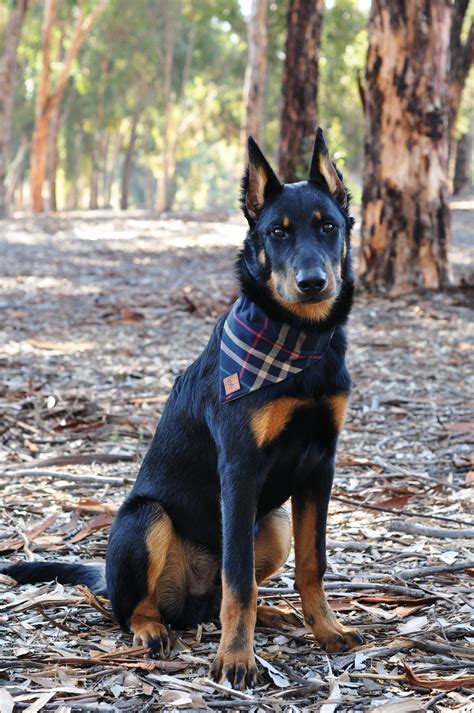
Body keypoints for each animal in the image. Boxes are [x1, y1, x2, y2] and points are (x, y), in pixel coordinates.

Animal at [2, 129, 362, 688]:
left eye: (329, 226)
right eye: (277, 233)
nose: (313, 282)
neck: (297, 342)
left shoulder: (320, 465)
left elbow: (312, 564)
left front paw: (325, 628)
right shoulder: (239, 467)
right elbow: (240, 581)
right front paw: (236, 658)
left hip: (273, 523)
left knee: (215, 599)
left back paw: (271, 614)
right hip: (145, 518)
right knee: (136, 608)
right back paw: (152, 629)